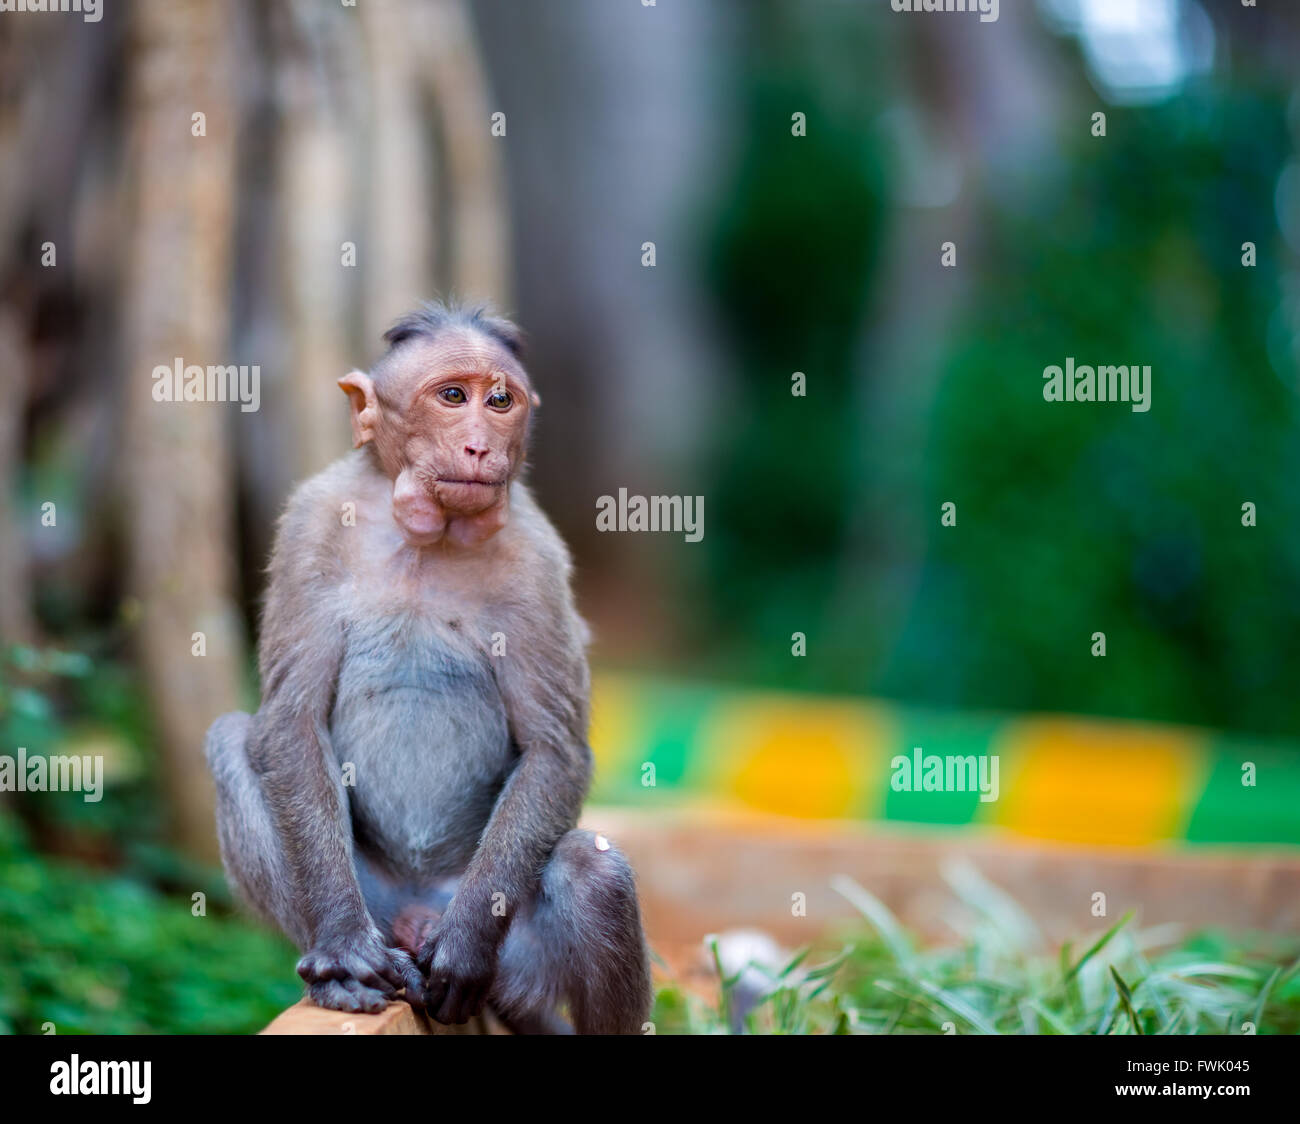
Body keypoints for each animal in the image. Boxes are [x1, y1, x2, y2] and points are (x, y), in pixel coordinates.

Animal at [205, 300, 650, 1034]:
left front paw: (464, 945)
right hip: (380, 908)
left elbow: (554, 748)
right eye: (452, 397)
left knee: (594, 875)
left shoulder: (538, 556)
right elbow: (289, 723)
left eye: (500, 400)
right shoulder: (310, 524)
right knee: (232, 739)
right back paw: (336, 973)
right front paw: (342, 950)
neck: (427, 533)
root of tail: (415, 917)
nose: (480, 446)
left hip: (515, 960)